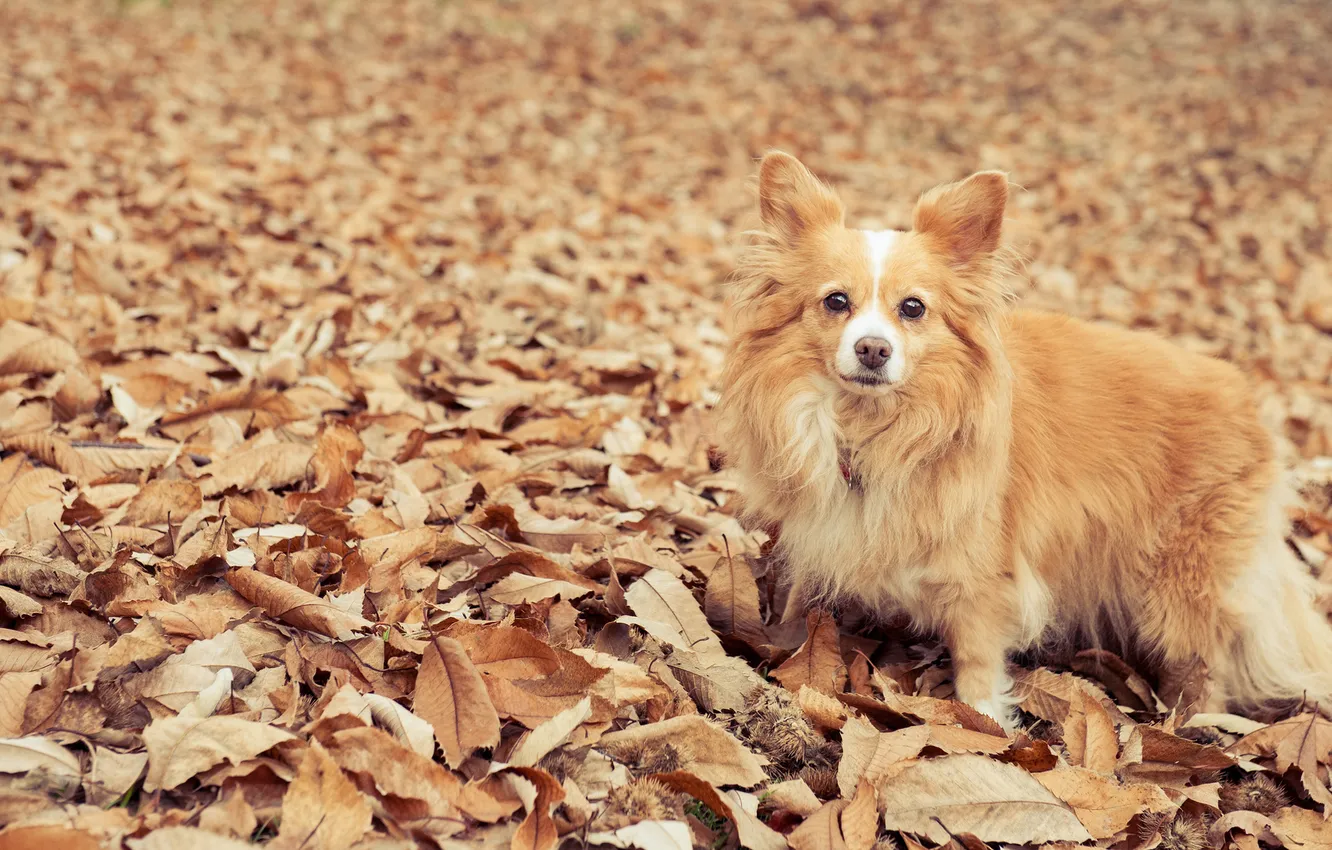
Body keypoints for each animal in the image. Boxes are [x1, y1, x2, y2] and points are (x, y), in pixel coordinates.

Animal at [713, 149, 1332, 730]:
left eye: (913, 308)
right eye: (835, 302)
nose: (873, 349)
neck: (873, 430)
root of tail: (1250, 402)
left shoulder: (984, 580)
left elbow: (977, 662)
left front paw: (984, 723)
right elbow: (802, 597)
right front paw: (783, 648)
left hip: (1180, 587)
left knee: (1202, 663)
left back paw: (1192, 724)